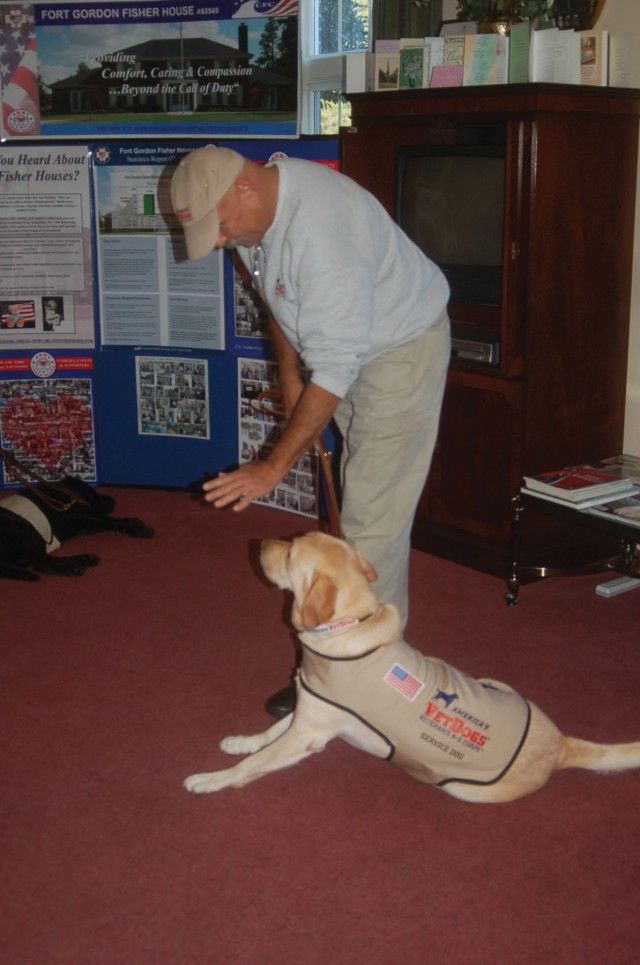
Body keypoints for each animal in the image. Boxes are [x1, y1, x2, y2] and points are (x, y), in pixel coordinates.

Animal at [0, 474, 154, 580]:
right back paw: (74, 565)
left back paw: (83, 560)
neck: (66, 492)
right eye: (92, 491)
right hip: (27, 530)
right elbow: (110, 520)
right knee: (42, 562)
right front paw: (136, 527)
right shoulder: (78, 515)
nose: (112, 501)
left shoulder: (84, 525)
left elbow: (105, 522)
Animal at [184, 536, 640, 800]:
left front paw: (211, 779)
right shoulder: (308, 709)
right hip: (495, 682)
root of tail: (561, 744)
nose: (260, 542)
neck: (349, 626)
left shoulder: (309, 733)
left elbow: (255, 762)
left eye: (292, 552)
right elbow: (269, 732)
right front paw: (241, 741)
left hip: (468, 788)